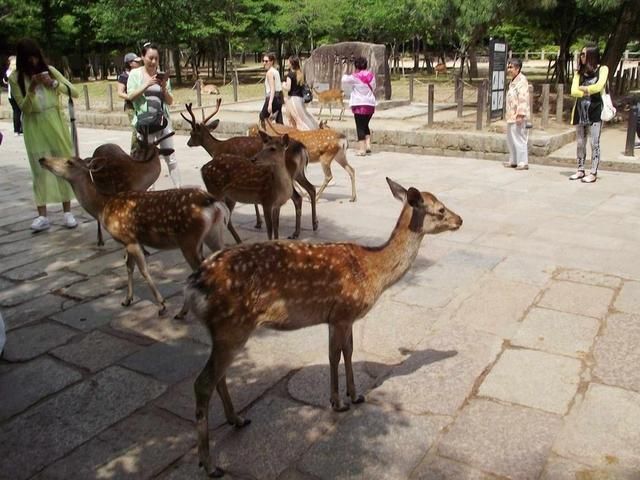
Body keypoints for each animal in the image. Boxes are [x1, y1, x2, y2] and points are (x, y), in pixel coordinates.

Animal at [38, 157, 229, 316]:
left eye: (69, 161)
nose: (42, 159)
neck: (102, 206)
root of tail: (212, 202)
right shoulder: (126, 241)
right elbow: (129, 267)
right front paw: (127, 300)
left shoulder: (130, 238)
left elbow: (143, 270)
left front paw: (161, 305)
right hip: (213, 234)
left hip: (188, 239)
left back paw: (183, 312)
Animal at [182, 102, 318, 242]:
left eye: (192, 133)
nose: (188, 143)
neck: (216, 149)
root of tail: (302, 148)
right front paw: (258, 222)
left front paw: (259, 222)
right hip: (299, 173)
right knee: (311, 188)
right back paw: (314, 224)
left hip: (291, 173)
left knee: (297, 197)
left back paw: (296, 232)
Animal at [182, 178, 462, 478]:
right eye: (440, 209)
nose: (460, 220)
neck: (373, 270)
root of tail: (193, 286)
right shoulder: (342, 313)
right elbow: (337, 355)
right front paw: (339, 403)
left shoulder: (340, 317)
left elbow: (344, 353)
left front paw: (354, 395)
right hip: (231, 327)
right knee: (203, 382)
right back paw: (210, 464)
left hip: (224, 332)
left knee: (218, 377)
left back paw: (237, 419)